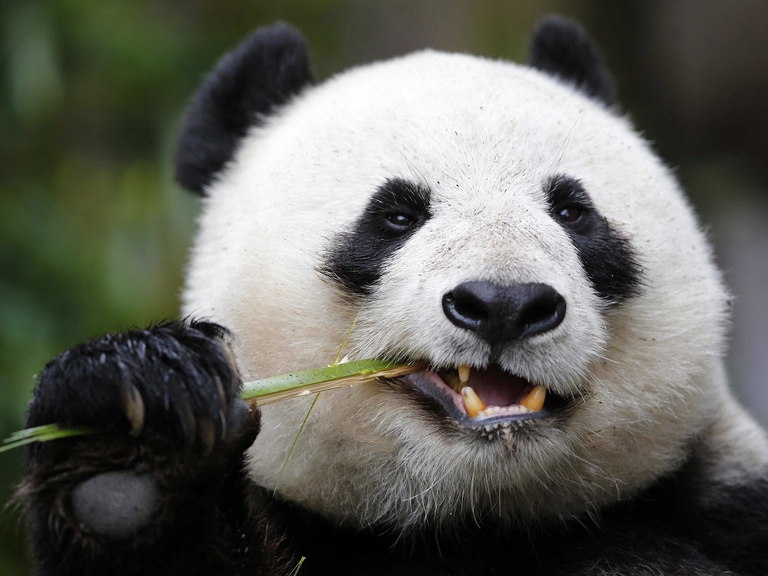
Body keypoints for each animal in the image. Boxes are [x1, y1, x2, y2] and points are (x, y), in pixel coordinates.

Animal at [20, 15, 768, 576]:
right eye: (397, 215)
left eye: (573, 212)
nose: (504, 303)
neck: (475, 519)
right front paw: (132, 443)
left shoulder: (723, 501)